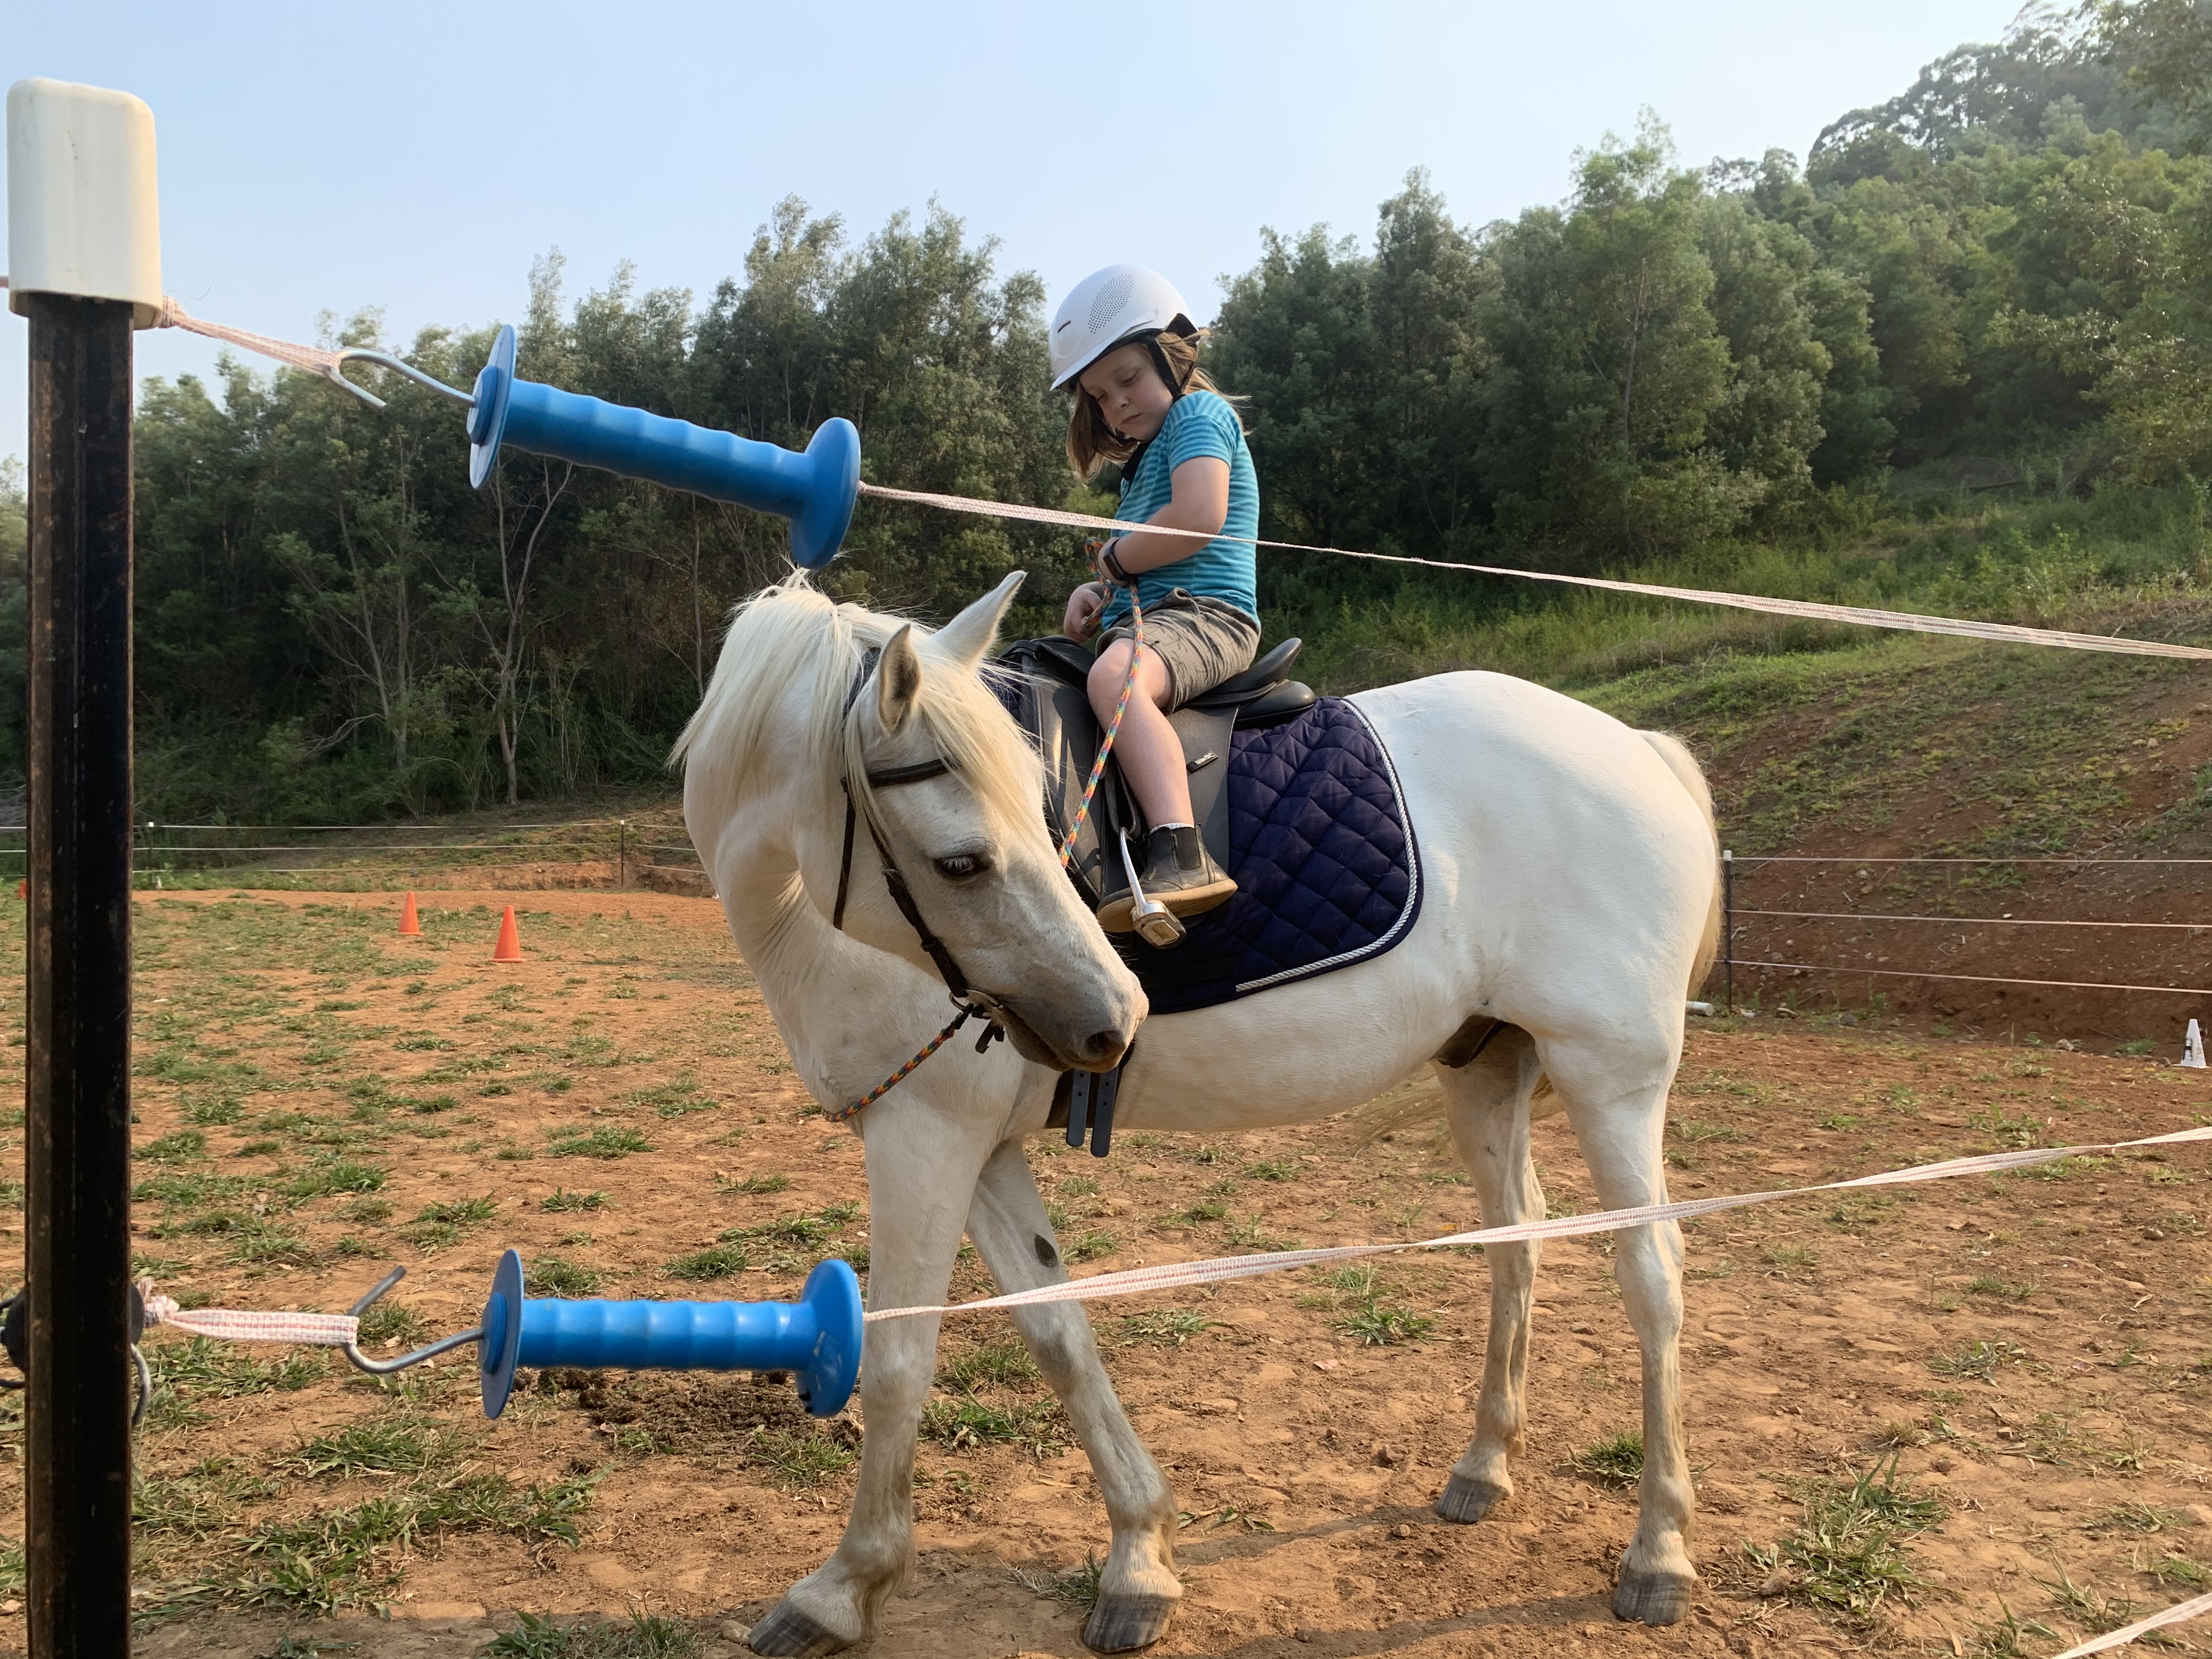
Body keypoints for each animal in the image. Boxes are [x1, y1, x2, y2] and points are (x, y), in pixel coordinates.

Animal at [675, 570, 1720, 1654]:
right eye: (964, 861)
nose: (1113, 1015)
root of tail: (1638, 746)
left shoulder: (923, 1137)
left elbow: (894, 1360)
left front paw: (842, 1586)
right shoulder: (980, 1150)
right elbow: (1056, 1332)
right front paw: (1139, 1551)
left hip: (1610, 1077)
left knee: (1652, 1278)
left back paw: (1658, 1550)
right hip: (1485, 1067)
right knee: (1517, 1243)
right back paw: (1482, 1468)